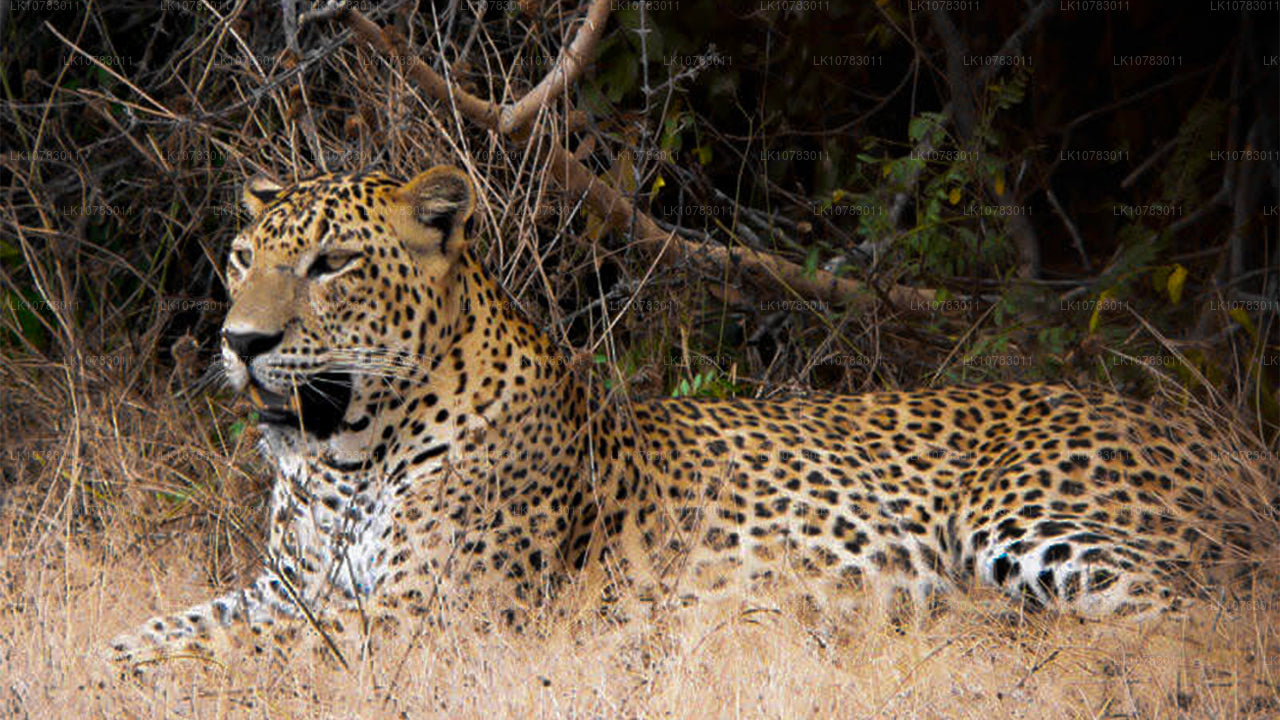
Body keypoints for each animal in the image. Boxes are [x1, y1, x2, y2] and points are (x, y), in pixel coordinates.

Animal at [107, 163, 1269, 666]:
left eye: (334, 264)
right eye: (242, 257)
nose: (239, 343)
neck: (344, 456)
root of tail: (1227, 436)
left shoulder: (431, 613)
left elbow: (225, 651)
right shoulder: (291, 585)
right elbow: (178, 624)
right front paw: (104, 655)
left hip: (1032, 523)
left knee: (1190, 620)